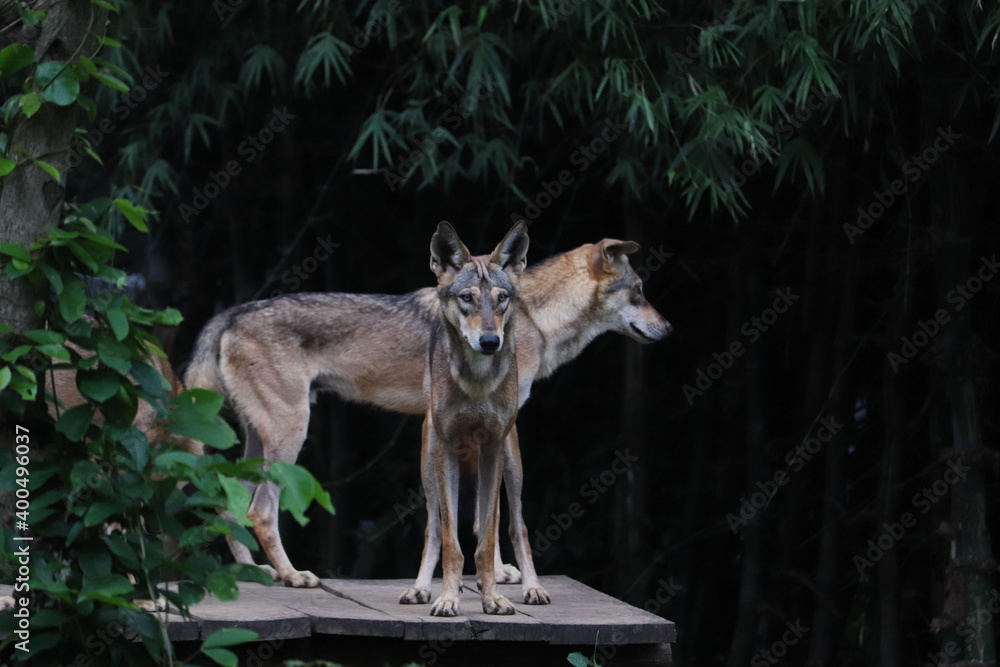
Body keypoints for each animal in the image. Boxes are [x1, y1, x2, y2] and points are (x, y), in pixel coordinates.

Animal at [184, 228, 672, 590]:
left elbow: (481, 510)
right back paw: (291, 575)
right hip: (290, 435)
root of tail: (231, 313)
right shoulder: (486, 427)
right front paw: (498, 573)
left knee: (227, 506)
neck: (531, 317)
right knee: (260, 512)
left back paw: (256, 573)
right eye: (640, 291)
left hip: (257, 443)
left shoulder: (476, 430)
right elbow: (490, 511)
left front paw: (494, 573)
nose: (668, 329)